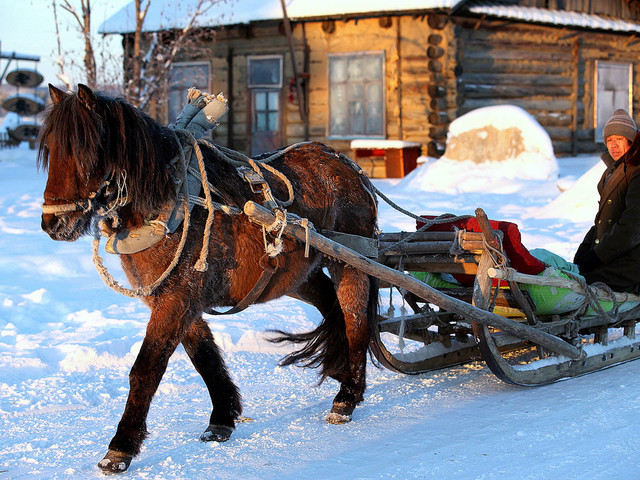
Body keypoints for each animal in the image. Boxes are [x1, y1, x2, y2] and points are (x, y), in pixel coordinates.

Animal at [37, 84, 378, 474]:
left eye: (86, 151)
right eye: (50, 150)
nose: (53, 224)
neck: (169, 204)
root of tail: (347, 166)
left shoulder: (178, 298)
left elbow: (146, 368)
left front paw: (121, 446)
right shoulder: (176, 299)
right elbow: (204, 358)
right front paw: (223, 417)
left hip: (351, 263)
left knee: (355, 319)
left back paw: (348, 395)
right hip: (295, 275)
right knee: (330, 305)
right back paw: (339, 372)